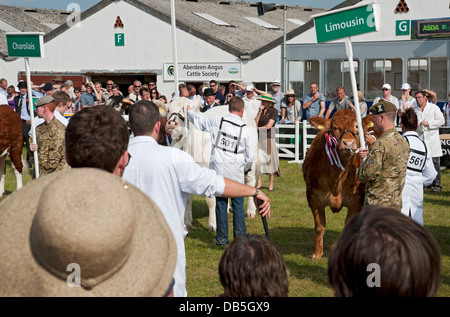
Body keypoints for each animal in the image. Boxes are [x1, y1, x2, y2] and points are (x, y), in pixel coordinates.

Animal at [302, 109, 376, 260]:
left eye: (356, 126)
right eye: (335, 127)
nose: (348, 143)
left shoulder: (357, 201)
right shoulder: (312, 196)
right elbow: (319, 226)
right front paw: (317, 253)